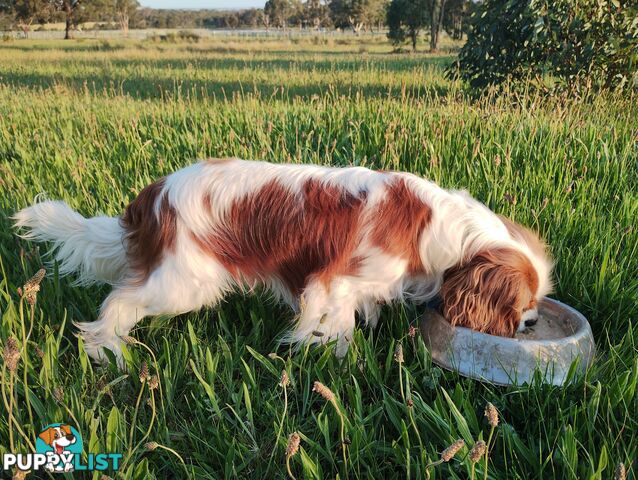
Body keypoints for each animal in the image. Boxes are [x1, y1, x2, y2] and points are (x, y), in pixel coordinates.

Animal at [15, 160, 556, 364]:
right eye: (524, 303)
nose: (532, 323)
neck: (436, 225)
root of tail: (152, 198)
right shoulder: (333, 281)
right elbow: (333, 323)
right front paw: (334, 362)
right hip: (183, 284)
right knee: (119, 302)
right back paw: (106, 347)